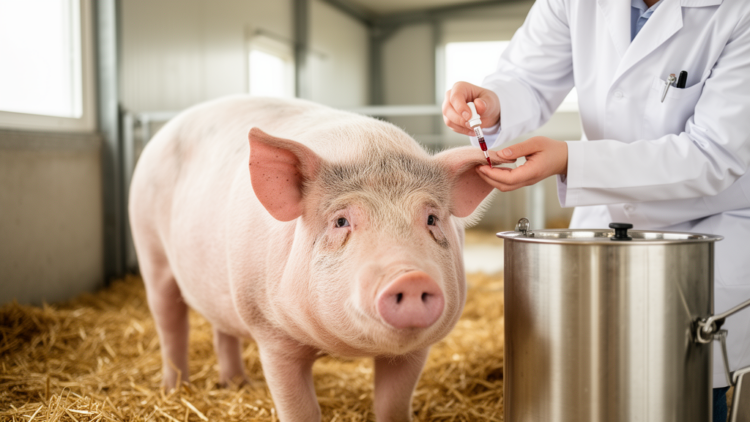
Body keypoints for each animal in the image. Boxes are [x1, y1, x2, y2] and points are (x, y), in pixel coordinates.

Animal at [128, 95, 494, 421]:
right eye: (341, 221)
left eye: (431, 218)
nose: (411, 276)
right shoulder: (271, 333)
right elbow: (300, 411)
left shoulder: (416, 350)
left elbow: (392, 408)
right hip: (149, 248)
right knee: (170, 323)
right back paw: (175, 389)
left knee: (222, 328)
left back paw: (236, 385)